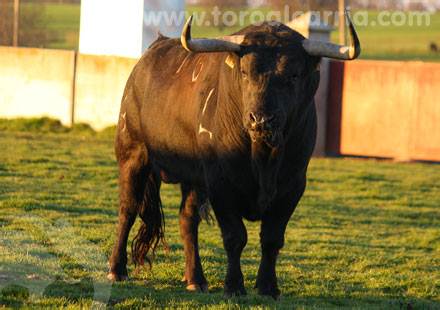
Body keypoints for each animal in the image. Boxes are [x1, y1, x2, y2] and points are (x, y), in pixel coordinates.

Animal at [107, 11, 360, 298]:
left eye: (294, 75)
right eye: (245, 72)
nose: (261, 119)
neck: (264, 157)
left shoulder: (292, 187)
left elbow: (272, 238)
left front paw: (268, 286)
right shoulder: (221, 185)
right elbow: (235, 237)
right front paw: (234, 286)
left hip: (194, 178)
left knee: (187, 220)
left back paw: (195, 278)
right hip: (133, 156)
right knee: (128, 209)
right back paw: (117, 269)